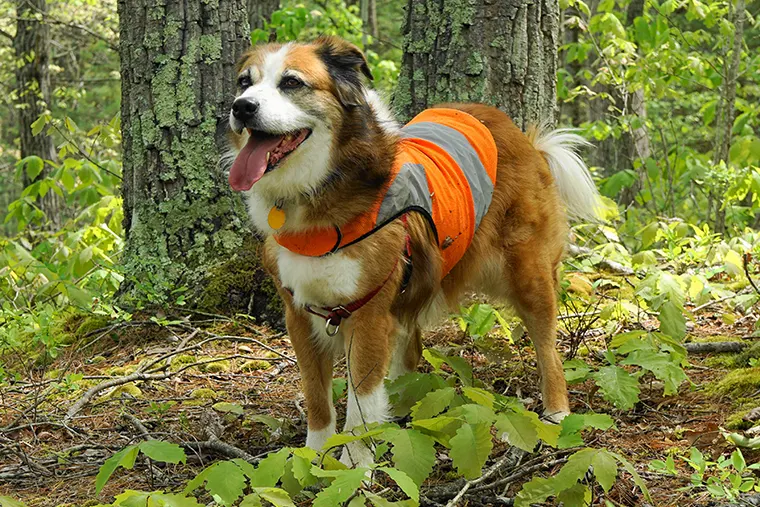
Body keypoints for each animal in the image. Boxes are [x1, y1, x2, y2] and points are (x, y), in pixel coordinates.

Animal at [226, 36, 600, 468]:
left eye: (291, 82)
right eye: (244, 82)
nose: (242, 107)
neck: (323, 189)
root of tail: (523, 135)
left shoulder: (367, 316)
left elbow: (360, 405)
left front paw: (356, 467)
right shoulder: (300, 316)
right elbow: (318, 400)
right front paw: (312, 459)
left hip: (528, 274)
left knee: (548, 348)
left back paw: (556, 412)